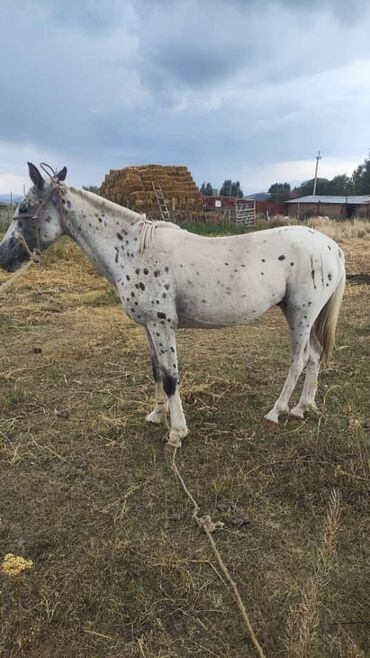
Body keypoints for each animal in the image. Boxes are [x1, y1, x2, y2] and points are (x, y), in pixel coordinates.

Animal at [0, 163, 346, 446]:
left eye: (25, 207)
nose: (4, 257)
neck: (134, 250)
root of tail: (331, 247)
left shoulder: (162, 324)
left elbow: (170, 377)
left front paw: (177, 432)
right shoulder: (148, 326)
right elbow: (156, 370)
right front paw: (156, 416)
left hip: (301, 313)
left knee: (299, 359)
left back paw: (276, 412)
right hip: (302, 314)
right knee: (315, 356)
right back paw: (302, 407)